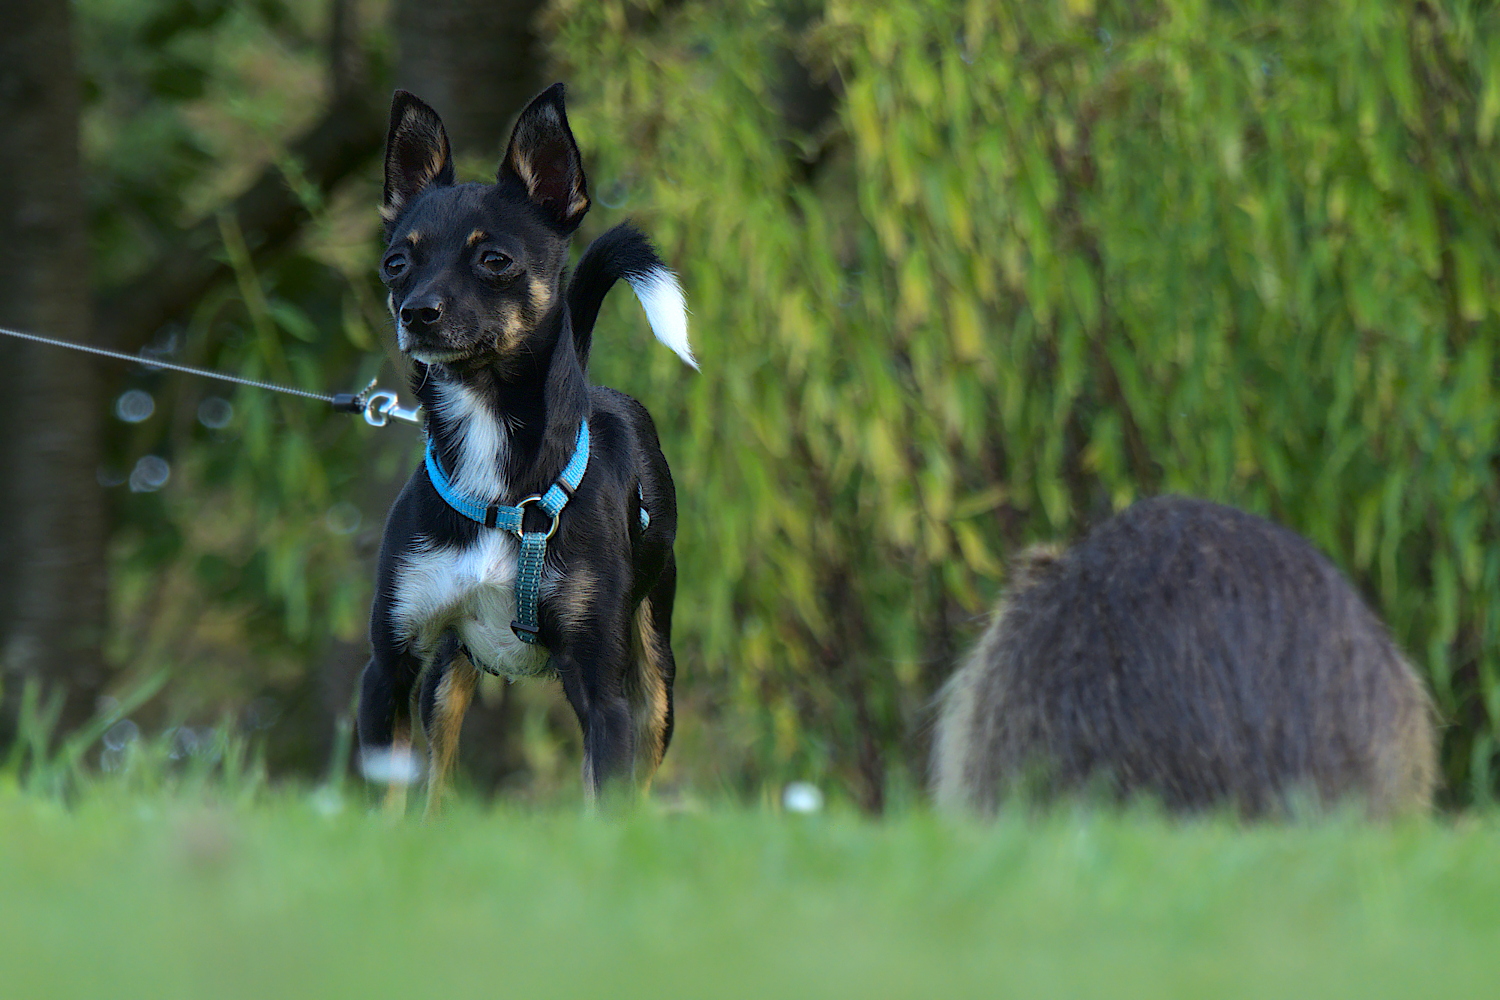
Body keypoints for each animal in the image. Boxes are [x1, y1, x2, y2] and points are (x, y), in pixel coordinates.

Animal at [357, 86, 696, 815]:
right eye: (396, 264)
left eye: (495, 260)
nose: (415, 311)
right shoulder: (390, 668)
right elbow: (383, 799)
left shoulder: (602, 690)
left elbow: (607, 803)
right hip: (447, 677)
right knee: (437, 779)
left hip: (655, 679)